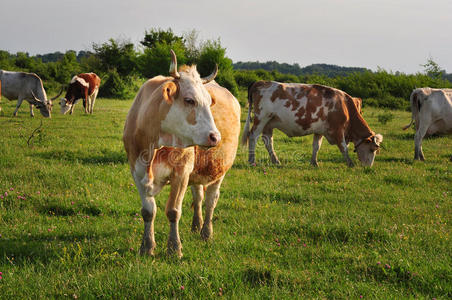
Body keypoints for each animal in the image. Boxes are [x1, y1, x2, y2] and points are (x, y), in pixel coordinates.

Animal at [122, 50, 242, 256]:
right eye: (189, 100)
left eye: (209, 102)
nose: (215, 137)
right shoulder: (136, 170)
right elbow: (148, 211)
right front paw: (146, 246)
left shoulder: (182, 172)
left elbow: (173, 211)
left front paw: (174, 248)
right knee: (199, 197)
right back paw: (196, 225)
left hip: (220, 171)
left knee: (210, 200)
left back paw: (206, 232)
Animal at [242, 81, 384, 168]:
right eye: (372, 149)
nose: (368, 167)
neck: (345, 106)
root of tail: (262, 82)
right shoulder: (338, 131)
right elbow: (344, 147)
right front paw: (350, 163)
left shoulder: (320, 131)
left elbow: (316, 146)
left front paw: (314, 163)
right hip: (261, 118)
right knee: (253, 136)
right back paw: (251, 160)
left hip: (269, 123)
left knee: (268, 141)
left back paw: (276, 161)